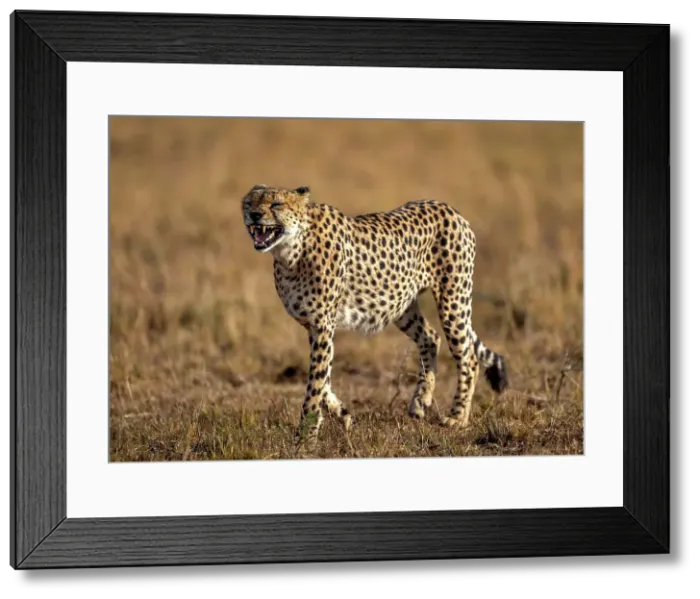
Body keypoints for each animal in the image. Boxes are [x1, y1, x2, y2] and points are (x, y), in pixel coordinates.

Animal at [241, 184, 508, 447]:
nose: (254, 215)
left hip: (453, 299)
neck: (291, 251)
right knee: (431, 338)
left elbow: (316, 383)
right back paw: (420, 401)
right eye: (249, 202)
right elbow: (322, 379)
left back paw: (458, 417)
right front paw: (344, 415)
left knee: (468, 357)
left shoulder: (323, 326)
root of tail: (447, 207)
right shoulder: (314, 326)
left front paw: (305, 437)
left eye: (276, 204)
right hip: (400, 303)